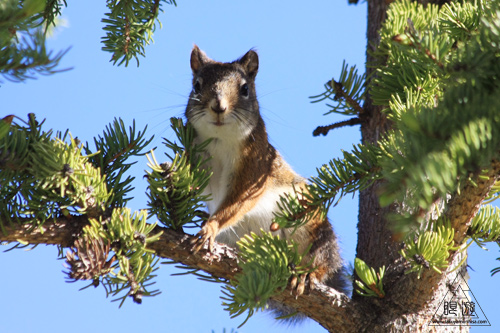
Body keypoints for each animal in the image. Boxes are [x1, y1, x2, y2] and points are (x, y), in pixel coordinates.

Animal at [186, 45, 346, 304]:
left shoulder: (255, 167)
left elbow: (237, 202)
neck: (220, 139)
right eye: (197, 86)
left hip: (308, 224)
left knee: (322, 258)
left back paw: (307, 273)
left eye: (245, 88)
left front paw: (210, 227)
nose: (218, 106)